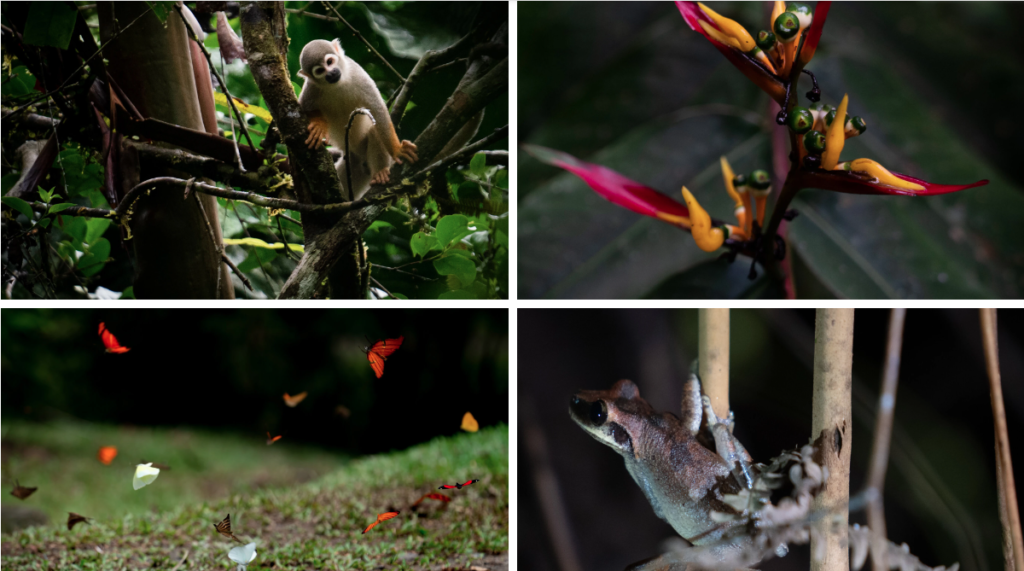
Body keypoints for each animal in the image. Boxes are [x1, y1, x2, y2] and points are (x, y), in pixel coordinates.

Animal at [299, 39, 417, 200]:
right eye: (320, 71)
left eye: (329, 62)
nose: (331, 73)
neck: (338, 83)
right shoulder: (312, 87)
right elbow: (304, 108)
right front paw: (319, 126)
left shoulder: (358, 74)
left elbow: (378, 110)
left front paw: (398, 150)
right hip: (353, 163)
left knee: (375, 130)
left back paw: (380, 172)